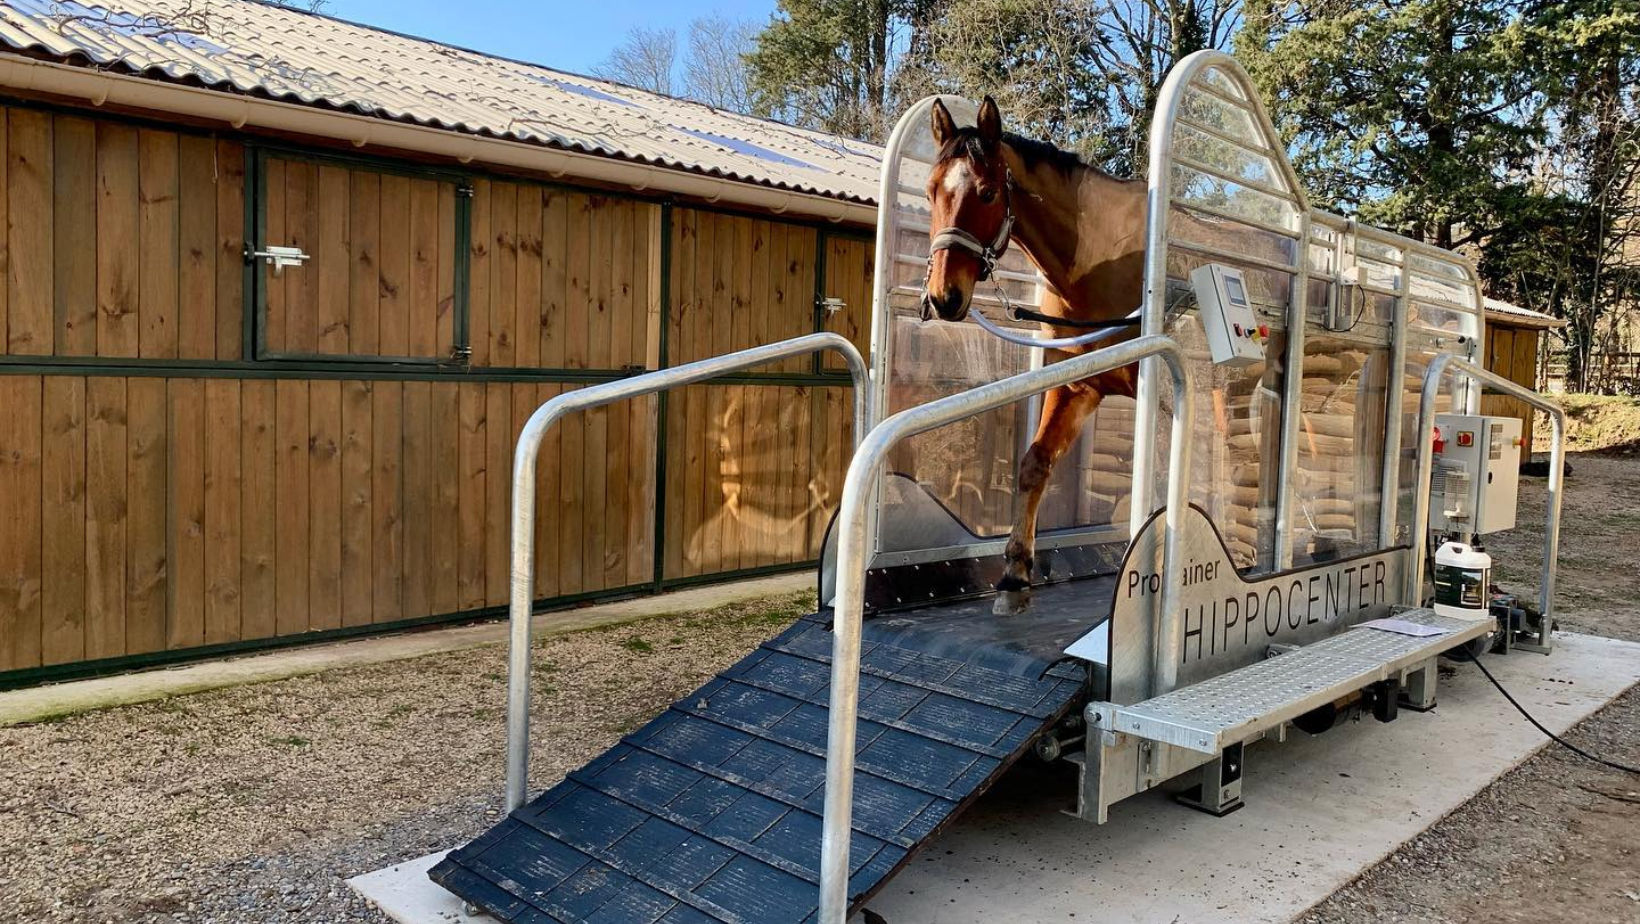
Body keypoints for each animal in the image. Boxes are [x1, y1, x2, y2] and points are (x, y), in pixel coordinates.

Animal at [921, 96, 1148, 616]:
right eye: (929, 192)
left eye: (987, 193)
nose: (944, 297)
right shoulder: (1079, 385)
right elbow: (1034, 465)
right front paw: (1014, 572)